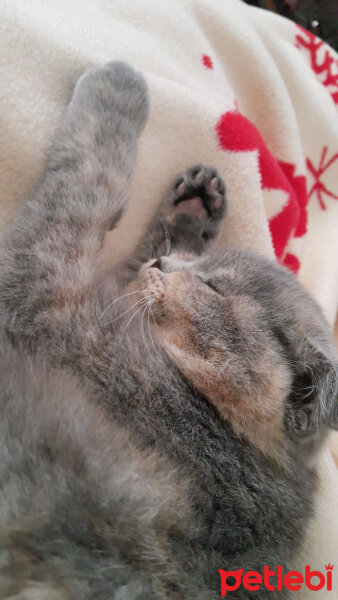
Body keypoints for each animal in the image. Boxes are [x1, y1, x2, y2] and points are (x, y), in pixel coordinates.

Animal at [0, 63, 336, 596]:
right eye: (195, 262)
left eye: (212, 286)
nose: (165, 263)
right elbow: (127, 262)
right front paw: (194, 209)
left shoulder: (48, 295)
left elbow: (85, 186)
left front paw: (119, 84)